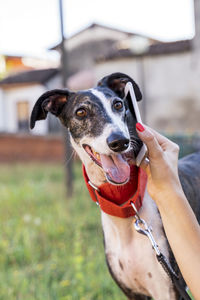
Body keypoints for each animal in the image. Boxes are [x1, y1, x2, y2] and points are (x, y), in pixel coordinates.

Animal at [30, 73, 200, 300]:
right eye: (81, 112)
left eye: (118, 104)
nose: (120, 141)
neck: (127, 205)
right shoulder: (132, 293)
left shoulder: (168, 290)